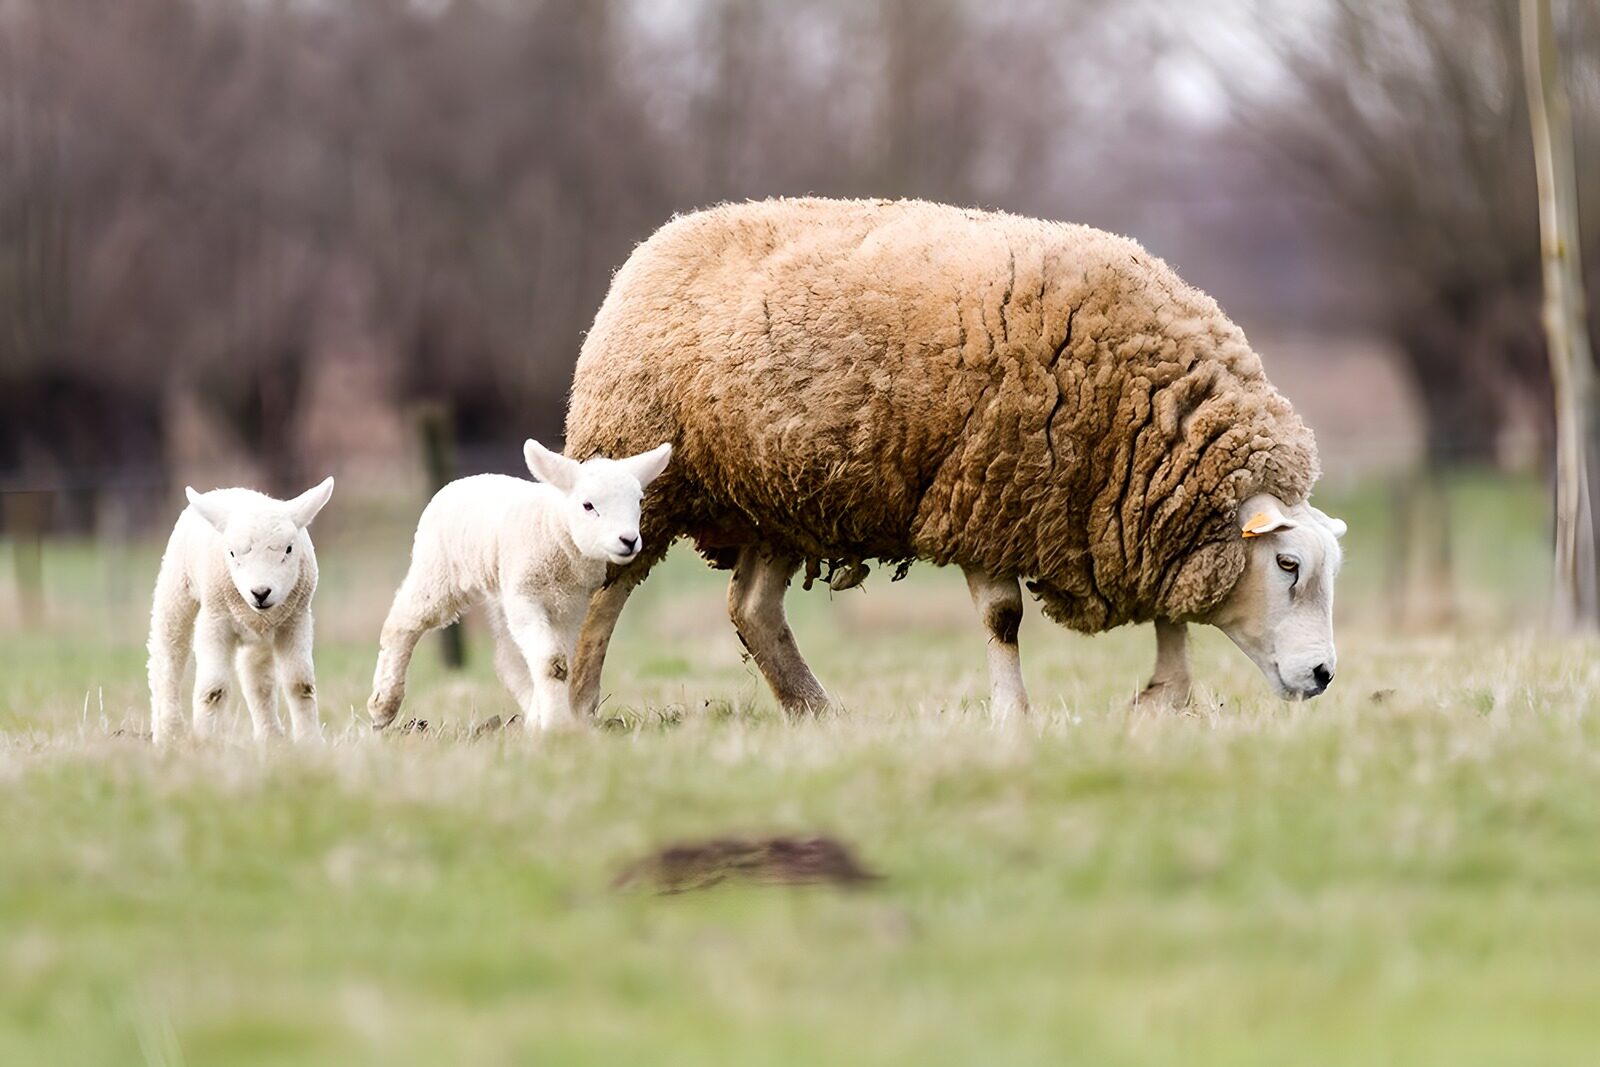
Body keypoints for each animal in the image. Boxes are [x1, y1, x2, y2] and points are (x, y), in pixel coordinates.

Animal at [147, 478, 335, 744]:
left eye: (288, 549)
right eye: (232, 553)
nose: (260, 592)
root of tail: (226, 489)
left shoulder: (296, 621)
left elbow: (300, 684)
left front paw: (310, 742)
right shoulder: (214, 620)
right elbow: (213, 689)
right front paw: (205, 742)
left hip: (260, 635)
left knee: (257, 679)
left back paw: (270, 738)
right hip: (176, 590)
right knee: (167, 658)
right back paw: (168, 733)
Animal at [366, 440, 671, 732]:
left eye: (639, 501)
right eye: (588, 505)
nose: (629, 540)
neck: (556, 533)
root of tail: (456, 483)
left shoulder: (571, 608)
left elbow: (562, 663)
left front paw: (548, 719)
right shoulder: (527, 597)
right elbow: (552, 663)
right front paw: (559, 726)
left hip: (500, 595)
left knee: (508, 658)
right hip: (438, 574)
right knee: (402, 623)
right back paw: (383, 705)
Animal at [562, 197, 1349, 719]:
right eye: (1287, 564)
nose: (1323, 675)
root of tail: (658, 240)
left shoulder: (1128, 515)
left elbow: (1171, 619)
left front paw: (1164, 702)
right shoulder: (993, 494)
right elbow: (1004, 619)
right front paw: (1014, 719)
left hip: (781, 498)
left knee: (751, 609)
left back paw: (820, 715)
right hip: (644, 472)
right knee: (601, 591)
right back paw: (575, 706)